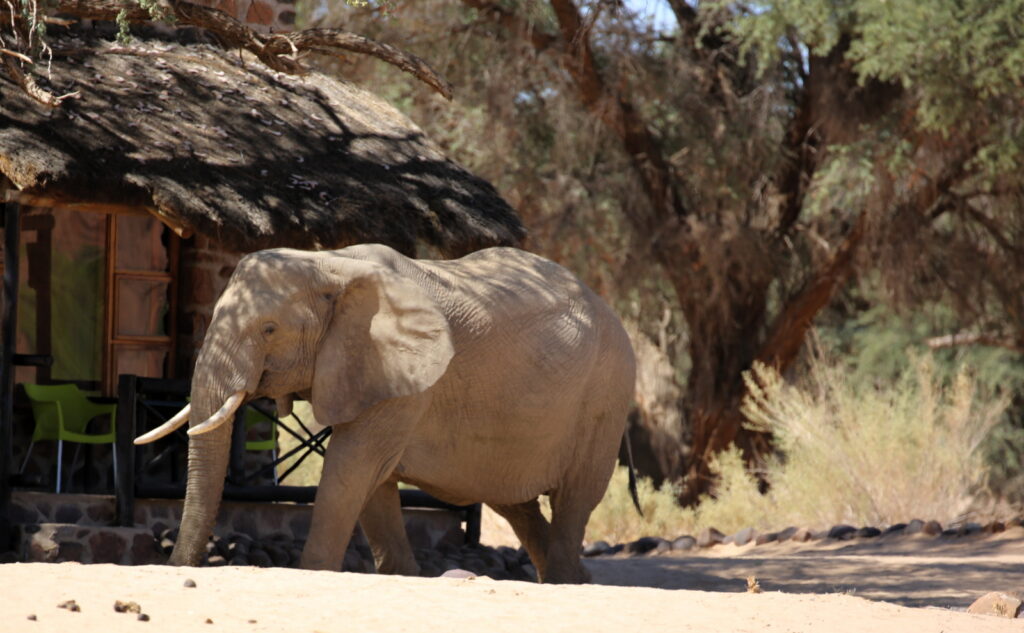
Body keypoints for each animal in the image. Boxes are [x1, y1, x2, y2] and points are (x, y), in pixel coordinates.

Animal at [133, 242, 634, 581]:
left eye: (269, 329)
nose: (178, 568)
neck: (331, 264)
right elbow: (371, 484)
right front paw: (402, 577)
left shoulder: (405, 377)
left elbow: (352, 466)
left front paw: (313, 572)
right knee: (516, 505)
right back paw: (575, 580)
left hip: (605, 399)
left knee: (573, 500)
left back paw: (568, 581)